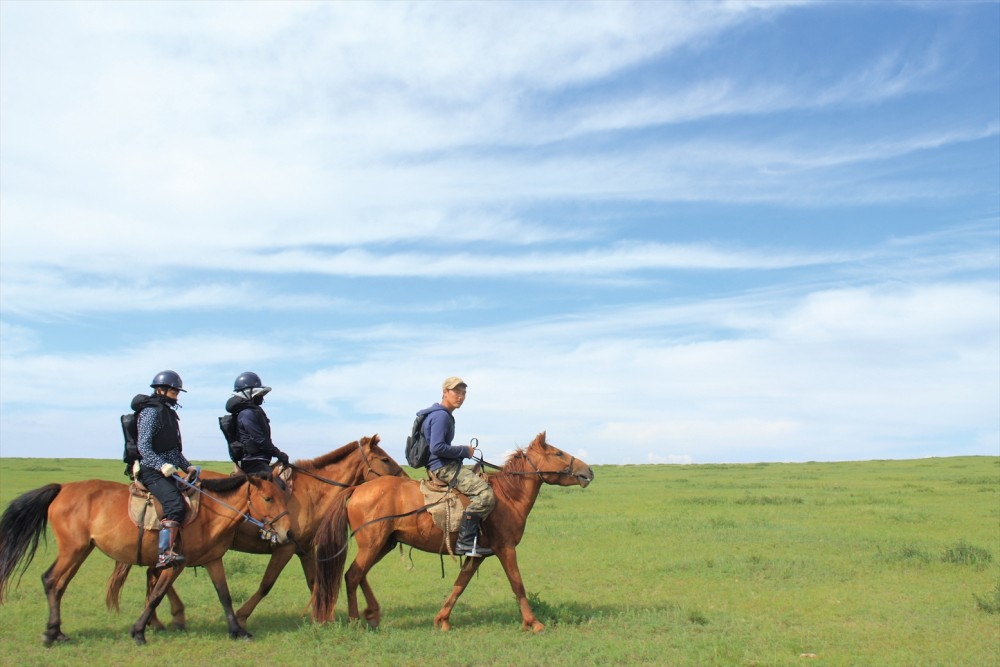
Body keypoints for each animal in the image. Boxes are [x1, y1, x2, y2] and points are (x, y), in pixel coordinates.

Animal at [0, 474, 292, 648]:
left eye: (283, 496)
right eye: (268, 498)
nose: (288, 533)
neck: (210, 513)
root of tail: (62, 488)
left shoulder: (212, 560)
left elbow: (225, 596)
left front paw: (237, 630)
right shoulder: (176, 563)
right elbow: (157, 595)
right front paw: (139, 631)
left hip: (81, 551)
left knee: (59, 585)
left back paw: (58, 631)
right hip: (73, 549)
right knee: (50, 580)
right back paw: (50, 633)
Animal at [106, 436, 406, 628]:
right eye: (384, 459)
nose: (404, 480)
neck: (310, 493)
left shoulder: (304, 549)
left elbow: (314, 582)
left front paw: (323, 618)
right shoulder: (285, 547)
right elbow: (266, 585)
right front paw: (241, 616)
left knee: (153, 573)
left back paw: (161, 619)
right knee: (156, 573)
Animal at [312, 436, 592, 636]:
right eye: (558, 453)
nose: (588, 471)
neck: (507, 496)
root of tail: (357, 489)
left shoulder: (477, 555)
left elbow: (460, 584)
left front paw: (442, 620)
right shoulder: (506, 549)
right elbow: (517, 584)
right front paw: (533, 623)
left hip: (384, 544)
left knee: (359, 575)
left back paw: (372, 613)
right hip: (372, 544)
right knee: (352, 576)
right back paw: (356, 620)